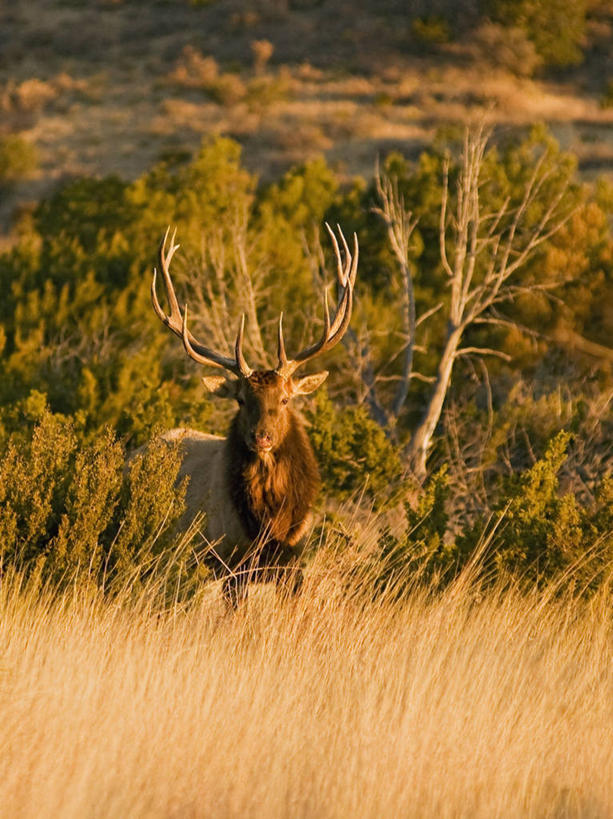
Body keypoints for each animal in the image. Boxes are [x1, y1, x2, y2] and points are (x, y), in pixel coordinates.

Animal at [150, 224, 356, 604]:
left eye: (286, 399)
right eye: (242, 400)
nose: (262, 436)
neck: (268, 525)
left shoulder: (294, 564)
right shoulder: (232, 564)